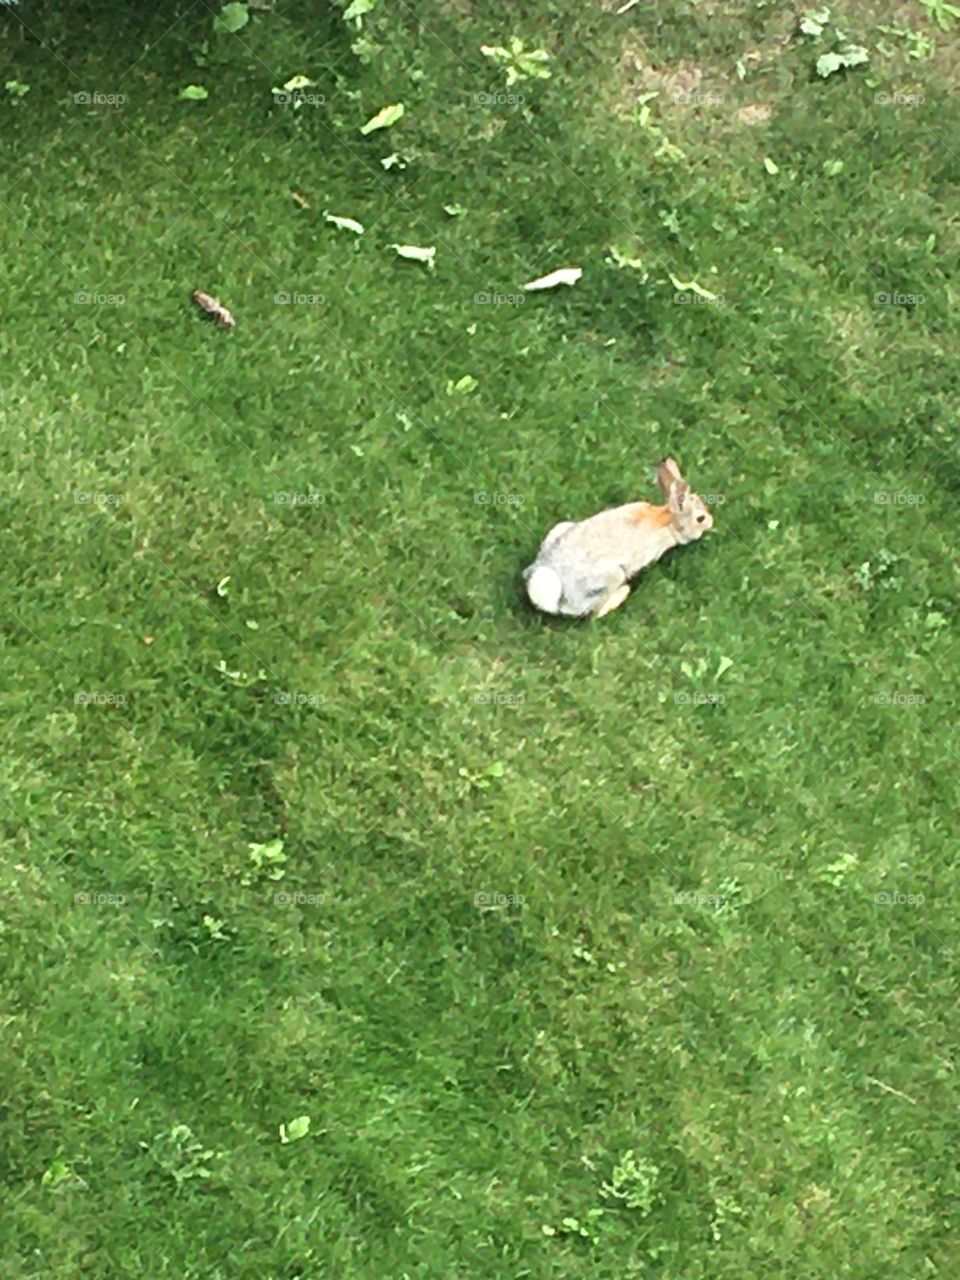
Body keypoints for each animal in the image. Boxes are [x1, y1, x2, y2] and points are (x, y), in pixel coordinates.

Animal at [523, 457, 713, 617]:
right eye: (700, 518)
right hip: (613, 576)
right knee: (595, 612)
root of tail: (559, 599)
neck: (667, 521)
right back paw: (623, 592)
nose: (711, 522)